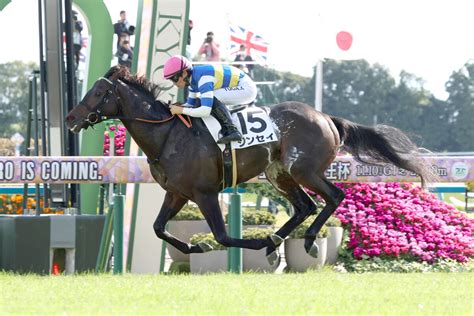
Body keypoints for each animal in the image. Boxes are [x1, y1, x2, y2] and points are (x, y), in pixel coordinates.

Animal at [65, 65, 436, 262]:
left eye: (98, 92)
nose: (70, 118)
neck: (168, 135)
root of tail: (326, 117)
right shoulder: (177, 193)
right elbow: (158, 228)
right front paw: (196, 245)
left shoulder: (204, 193)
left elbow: (223, 235)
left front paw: (253, 242)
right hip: (279, 173)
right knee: (304, 206)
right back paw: (277, 242)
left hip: (304, 169)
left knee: (332, 197)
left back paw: (306, 240)